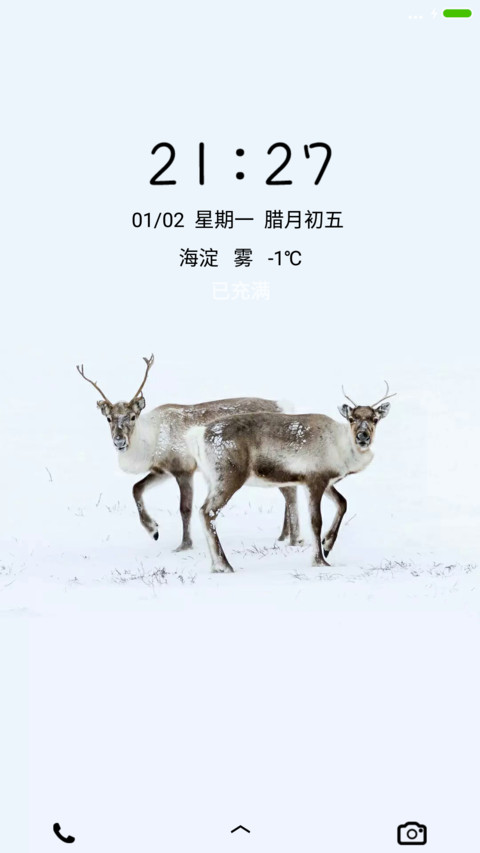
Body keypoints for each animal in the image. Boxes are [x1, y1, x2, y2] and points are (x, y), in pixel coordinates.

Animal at [76, 355, 301, 552]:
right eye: (109, 419)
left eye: (132, 416)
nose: (119, 441)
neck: (151, 439)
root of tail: (284, 407)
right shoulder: (162, 471)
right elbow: (136, 488)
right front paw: (153, 530)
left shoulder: (184, 469)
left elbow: (184, 509)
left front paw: (184, 545)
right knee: (287, 489)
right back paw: (283, 535)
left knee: (289, 491)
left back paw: (289, 537)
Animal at [187, 383, 395, 572]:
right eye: (352, 418)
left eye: (375, 419)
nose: (363, 436)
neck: (340, 447)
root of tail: (198, 435)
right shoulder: (314, 480)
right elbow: (316, 521)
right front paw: (320, 561)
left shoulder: (325, 482)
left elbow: (343, 503)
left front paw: (327, 546)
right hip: (229, 477)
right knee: (207, 512)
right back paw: (224, 565)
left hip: (212, 480)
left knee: (205, 512)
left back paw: (216, 566)